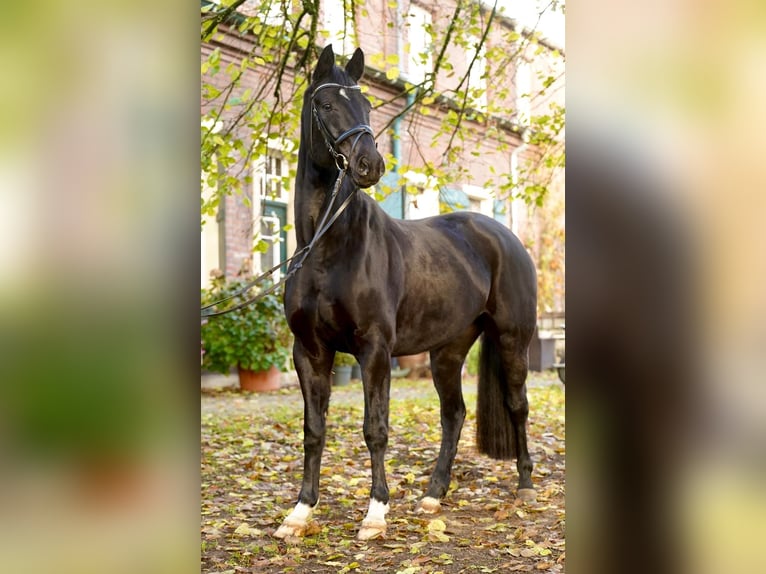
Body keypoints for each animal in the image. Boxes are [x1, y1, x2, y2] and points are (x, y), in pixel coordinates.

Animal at [274, 45, 538, 541]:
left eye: (367, 105)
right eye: (326, 104)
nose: (369, 165)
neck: (327, 249)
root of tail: (502, 235)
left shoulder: (375, 350)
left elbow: (375, 428)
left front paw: (376, 513)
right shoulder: (309, 351)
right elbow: (313, 429)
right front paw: (300, 512)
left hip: (514, 340)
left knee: (517, 405)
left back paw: (526, 487)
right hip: (448, 350)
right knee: (454, 414)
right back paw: (433, 495)